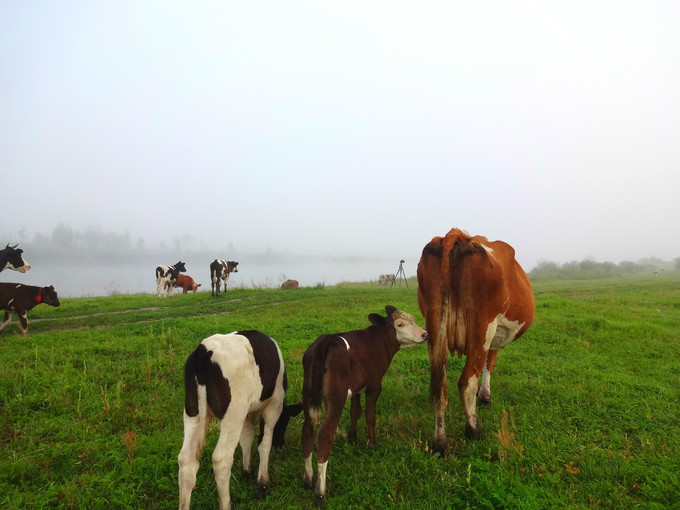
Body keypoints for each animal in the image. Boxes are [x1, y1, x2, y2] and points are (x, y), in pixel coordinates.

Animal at [178, 328, 300, 508]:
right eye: (284, 423)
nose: (281, 444)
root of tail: (203, 351)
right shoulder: (274, 406)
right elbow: (264, 443)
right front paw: (263, 484)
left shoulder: (245, 413)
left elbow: (247, 437)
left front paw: (247, 470)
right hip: (232, 415)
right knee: (221, 459)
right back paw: (226, 504)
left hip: (193, 412)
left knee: (186, 460)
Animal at [302, 304, 428, 504]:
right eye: (400, 324)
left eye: (413, 319)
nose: (425, 334)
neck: (378, 341)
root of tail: (325, 341)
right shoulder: (374, 386)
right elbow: (370, 415)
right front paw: (372, 444)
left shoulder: (355, 388)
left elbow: (355, 411)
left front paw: (352, 438)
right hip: (335, 399)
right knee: (324, 436)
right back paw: (320, 492)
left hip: (307, 394)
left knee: (307, 431)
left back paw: (307, 479)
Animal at [414, 229, 536, 452]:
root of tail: (457, 236)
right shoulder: (493, 334)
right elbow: (490, 363)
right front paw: (485, 397)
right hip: (482, 328)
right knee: (466, 382)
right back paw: (474, 430)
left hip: (433, 327)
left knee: (439, 387)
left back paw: (440, 442)